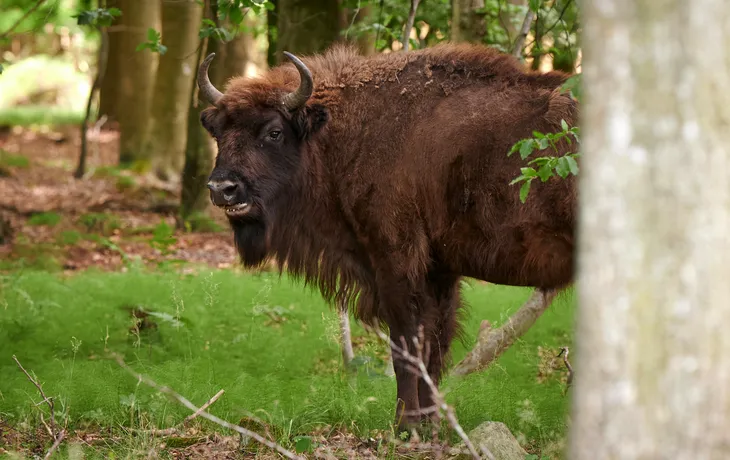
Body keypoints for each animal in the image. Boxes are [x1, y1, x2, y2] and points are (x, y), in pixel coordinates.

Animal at [198, 42, 578, 431]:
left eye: (273, 132)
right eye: (219, 133)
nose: (222, 189)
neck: (345, 131)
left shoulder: (395, 260)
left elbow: (406, 345)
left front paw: (404, 427)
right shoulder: (439, 270)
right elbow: (434, 344)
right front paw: (429, 426)